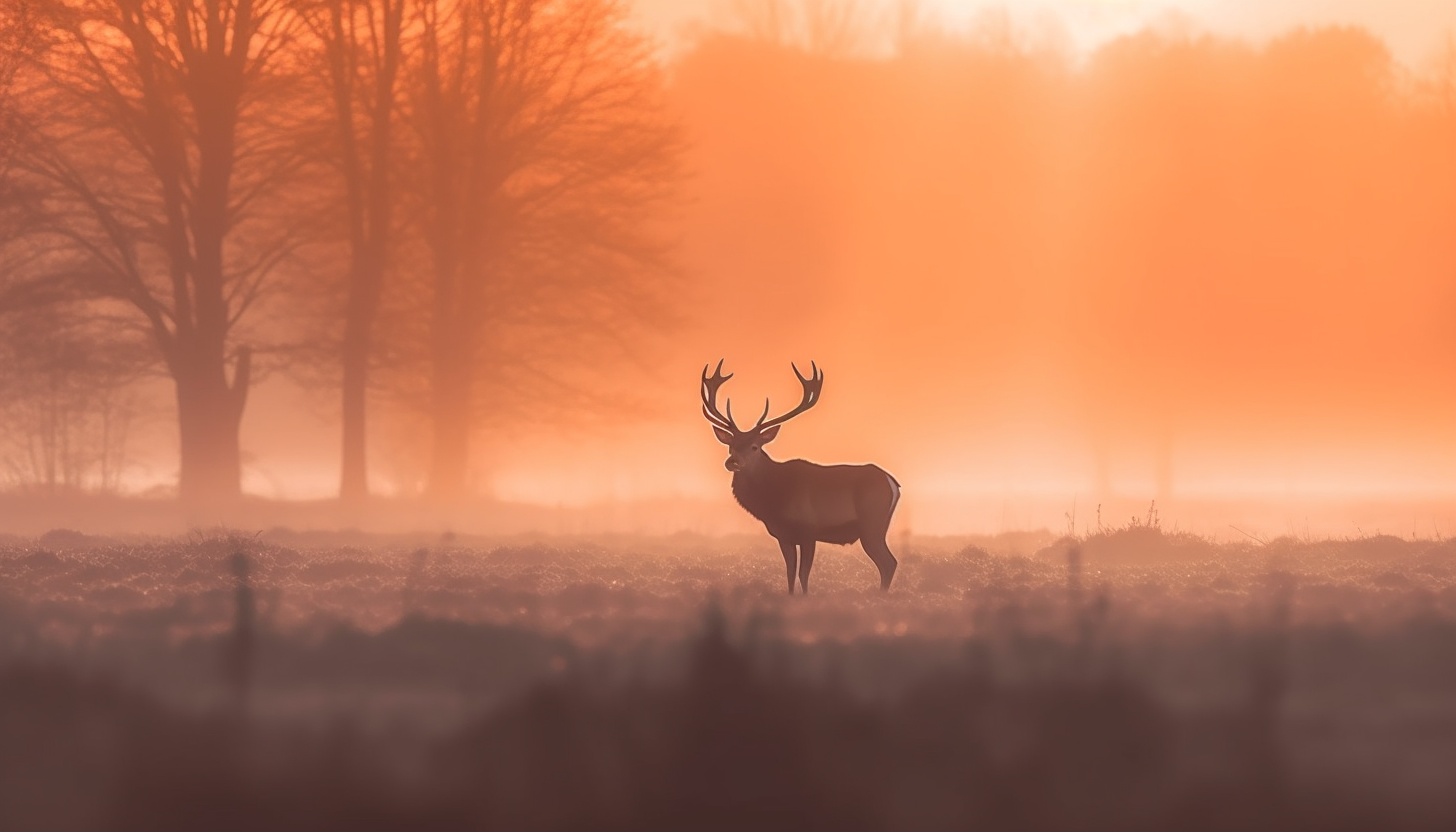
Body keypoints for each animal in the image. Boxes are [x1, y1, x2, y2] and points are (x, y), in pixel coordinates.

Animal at [701, 359, 902, 591]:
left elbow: (803, 575)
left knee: (889, 563)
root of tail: (893, 483)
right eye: (731, 446)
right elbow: (789, 574)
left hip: (872, 525)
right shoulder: (783, 536)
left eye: (754, 447)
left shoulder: (808, 531)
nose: (732, 462)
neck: (773, 502)